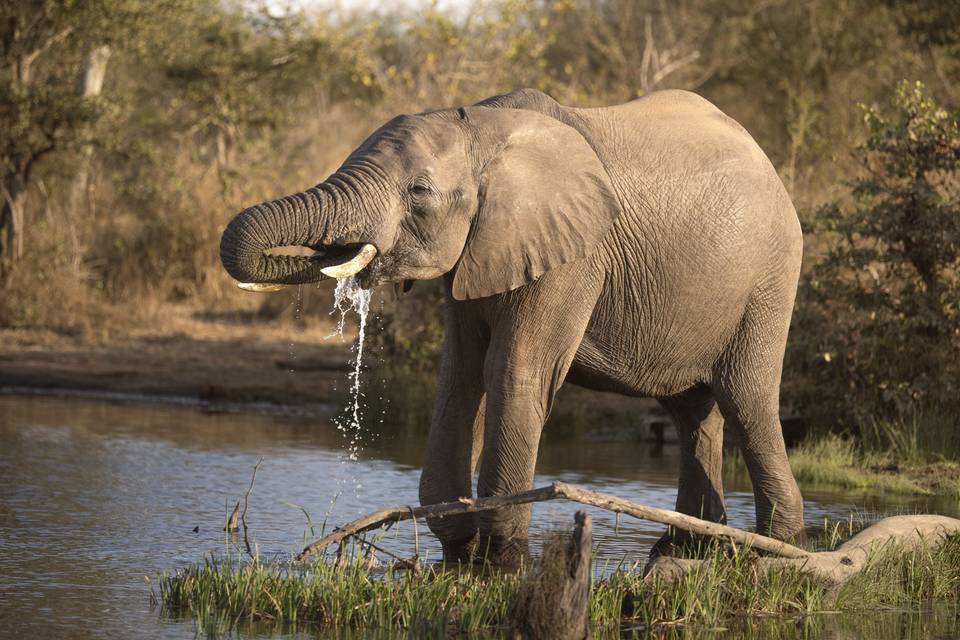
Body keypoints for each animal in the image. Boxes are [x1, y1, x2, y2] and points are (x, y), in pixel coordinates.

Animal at [219, 88, 805, 567]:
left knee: (746, 398)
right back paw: (682, 549)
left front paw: (501, 558)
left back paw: (777, 551)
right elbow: (459, 377)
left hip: (770, 277)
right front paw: (459, 548)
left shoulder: (574, 251)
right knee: (691, 412)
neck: (481, 126)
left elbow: (515, 371)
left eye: (419, 191)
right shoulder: (476, 252)